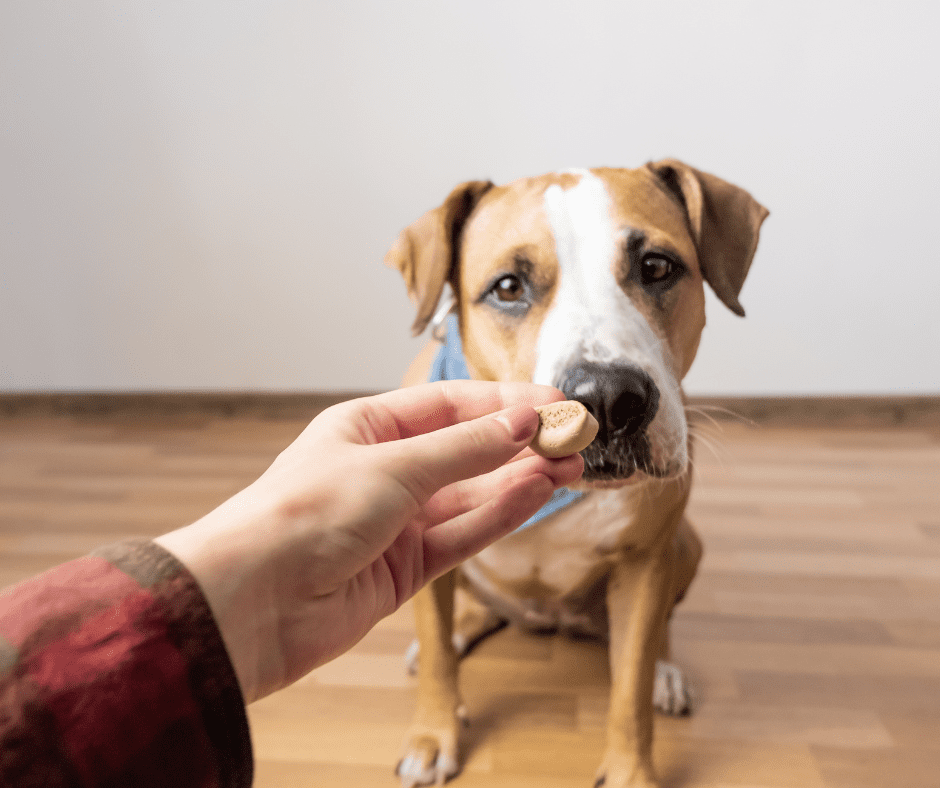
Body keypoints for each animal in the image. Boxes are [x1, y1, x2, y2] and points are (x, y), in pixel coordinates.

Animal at [386, 160, 768, 788]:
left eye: (657, 266)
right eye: (508, 287)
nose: (610, 398)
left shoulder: (644, 563)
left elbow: (630, 685)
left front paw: (631, 771)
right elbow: (440, 653)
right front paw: (432, 736)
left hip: (685, 546)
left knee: (658, 632)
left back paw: (666, 672)